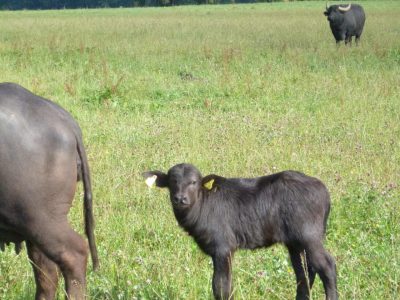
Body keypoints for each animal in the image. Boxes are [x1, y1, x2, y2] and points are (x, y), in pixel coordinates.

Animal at [144, 164, 338, 300]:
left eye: (193, 182)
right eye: (172, 182)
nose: (180, 199)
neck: (203, 204)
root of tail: (323, 190)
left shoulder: (223, 248)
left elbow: (221, 287)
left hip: (309, 237)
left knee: (327, 267)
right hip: (295, 243)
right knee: (304, 273)